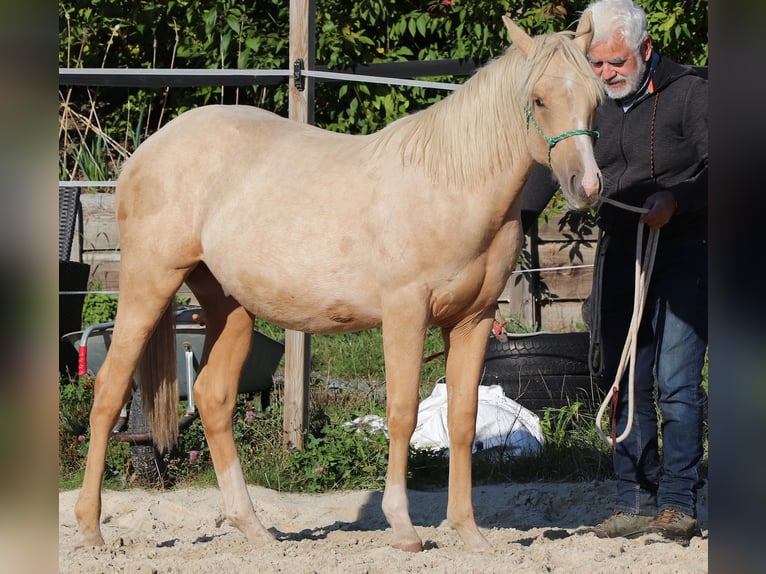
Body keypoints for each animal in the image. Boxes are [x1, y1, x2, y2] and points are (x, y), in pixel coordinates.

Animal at [74, 15, 603, 553]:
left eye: (596, 98)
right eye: (538, 99)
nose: (587, 186)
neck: (451, 186)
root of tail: (144, 153)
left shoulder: (472, 320)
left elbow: (462, 418)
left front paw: (469, 532)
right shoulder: (406, 314)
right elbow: (402, 413)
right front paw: (404, 528)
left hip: (230, 308)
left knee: (213, 398)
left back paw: (255, 528)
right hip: (149, 285)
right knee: (109, 392)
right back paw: (91, 528)